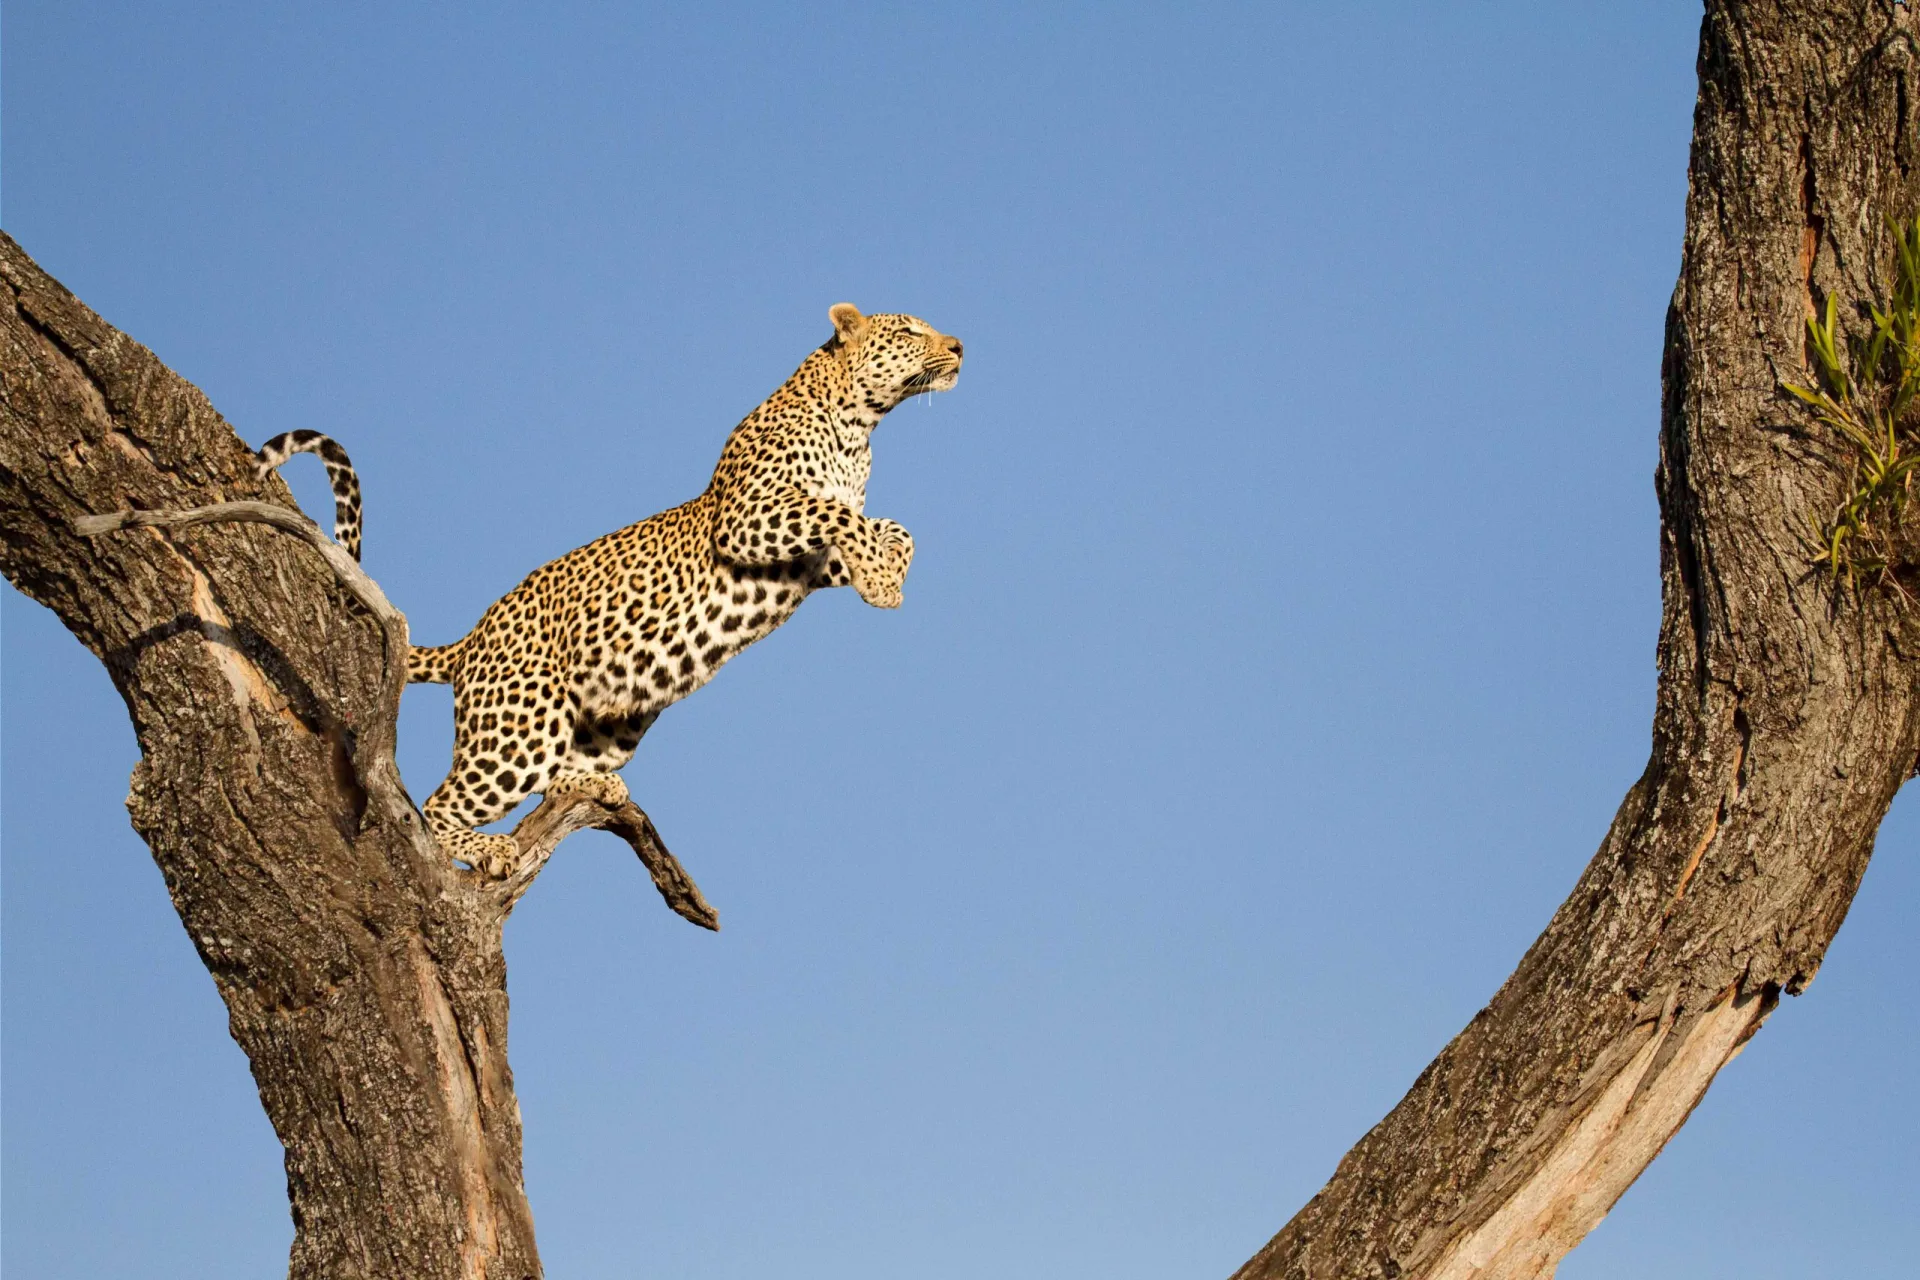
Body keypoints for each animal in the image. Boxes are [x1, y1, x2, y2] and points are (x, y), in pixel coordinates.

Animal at [257, 303, 962, 875]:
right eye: (908, 330)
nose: (959, 346)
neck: (860, 426)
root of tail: (472, 640)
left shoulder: (811, 558)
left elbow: (892, 527)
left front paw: (887, 572)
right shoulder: (749, 517)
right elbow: (836, 512)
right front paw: (884, 581)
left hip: (612, 720)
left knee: (552, 776)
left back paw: (592, 787)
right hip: (518, 727)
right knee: (436, 803)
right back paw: (490, 848)